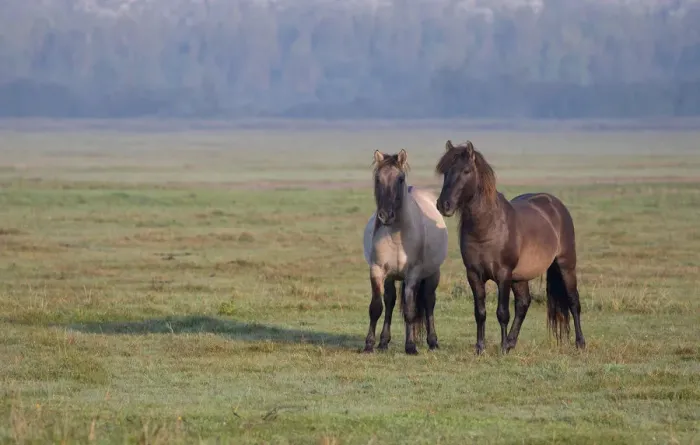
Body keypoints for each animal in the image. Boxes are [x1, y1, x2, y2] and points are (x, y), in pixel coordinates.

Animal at [362, 149, 449, 355]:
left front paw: (410, 346)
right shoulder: (377, 270)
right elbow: (376, 307)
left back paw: (433, 342)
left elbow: (410, 310)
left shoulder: (413, 274)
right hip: (391, 277)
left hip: (432, 274)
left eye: (400, 179)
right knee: (390, 301)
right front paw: (369, 344)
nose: (385, 215)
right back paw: (383, 342)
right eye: (378, 178)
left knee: (429, 302)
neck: (396, 235)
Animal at [434, 140, 586, 355]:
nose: (443, 205)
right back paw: (512, 342)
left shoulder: (503, 275)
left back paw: (580, 342)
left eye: (466, 171)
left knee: (573, 301)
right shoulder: (473, 274)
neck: (487, 227)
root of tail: (555, 204)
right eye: (445, 172)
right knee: (523, 304)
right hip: (519, 277)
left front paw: (502, 348)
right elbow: (480, 312)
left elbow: (502, 312)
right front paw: (481, 347)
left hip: (565, 264)